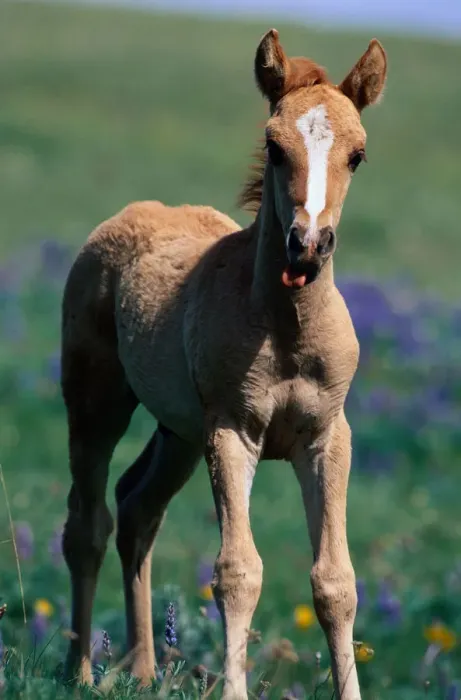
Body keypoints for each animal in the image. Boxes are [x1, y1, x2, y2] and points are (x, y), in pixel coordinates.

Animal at [60, 29, 387, 700]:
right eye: (274, 146)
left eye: (358, 156)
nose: (307, 246)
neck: (287, 331)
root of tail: (132, 212)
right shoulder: (232, 433)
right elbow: (239, 570)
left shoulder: (326, 437)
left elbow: (336, 582)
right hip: (95, 399)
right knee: (88, 523)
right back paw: (80, 671)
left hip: (179, 432)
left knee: (137, 508)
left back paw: (144, 669)